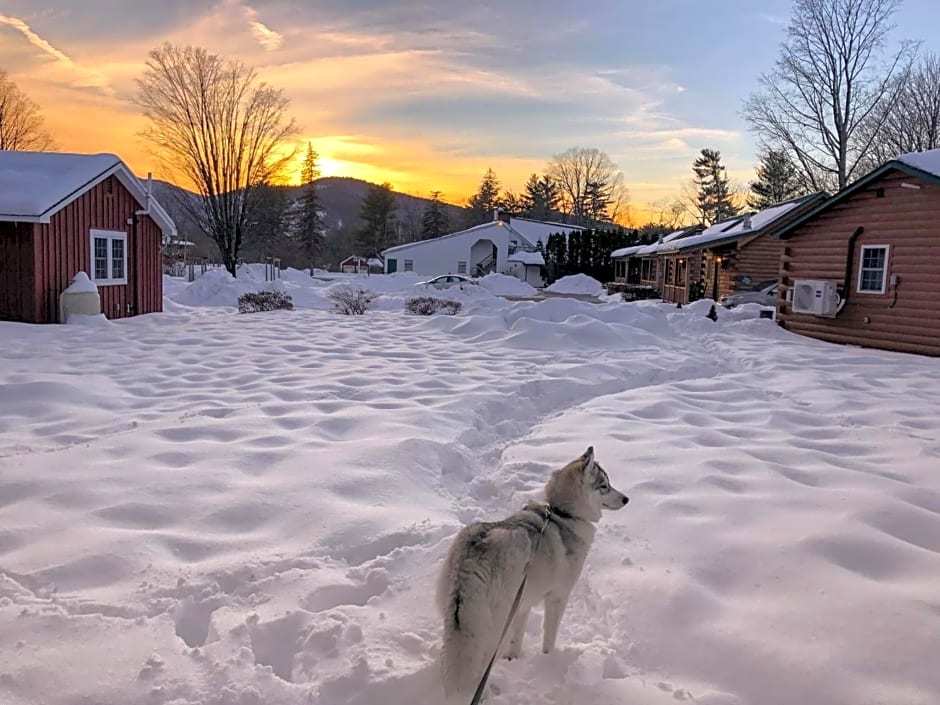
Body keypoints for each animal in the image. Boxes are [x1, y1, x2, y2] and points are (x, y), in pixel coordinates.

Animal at [436, 446, 628, 692]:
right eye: (604, 486)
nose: (626, 498)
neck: (562, 513)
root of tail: (473, 554)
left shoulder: (523, 604)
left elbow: (517, 638)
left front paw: (514, 658)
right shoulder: (558, 597)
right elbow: (549, 636)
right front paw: (549, 660)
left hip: (459, 618)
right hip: (494, 625)